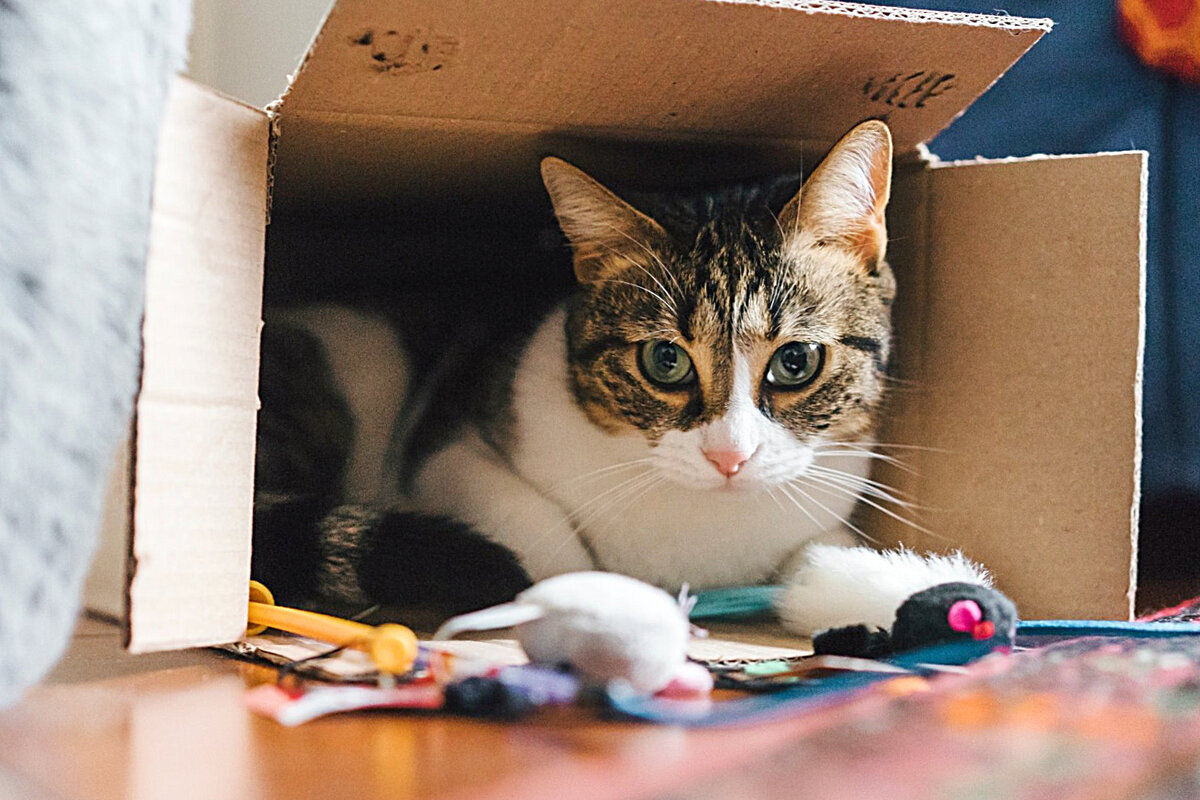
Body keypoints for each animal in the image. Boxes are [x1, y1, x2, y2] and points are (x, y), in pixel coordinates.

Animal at [252, 120, 990, 634]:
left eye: (795, 362)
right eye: (665, 361)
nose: (730, 457)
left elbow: (821, 555)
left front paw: (900, 587)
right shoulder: (443, 448)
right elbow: (540, 531)